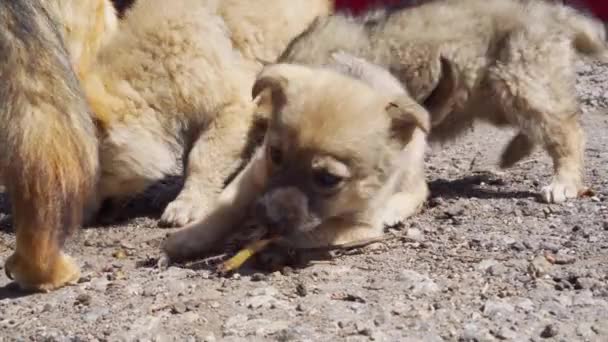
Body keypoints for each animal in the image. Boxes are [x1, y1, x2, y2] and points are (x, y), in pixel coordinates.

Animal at [164, 55, 434, 260]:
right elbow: (224, 207)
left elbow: (305, 234)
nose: (269, 218)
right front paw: (188, 237)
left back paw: (395, 207)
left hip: (411, 163)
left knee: (420, 188)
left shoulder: (360, 227)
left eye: (328, 178)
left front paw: (265, 242)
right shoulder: (255, 171)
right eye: (275, 154)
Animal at [276, 0, 608, 203]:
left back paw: (563, 181)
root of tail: (553, 12)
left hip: (519, 75)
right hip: (497, 89)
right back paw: (512, 154)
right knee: (540, 122)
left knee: (565, 128)